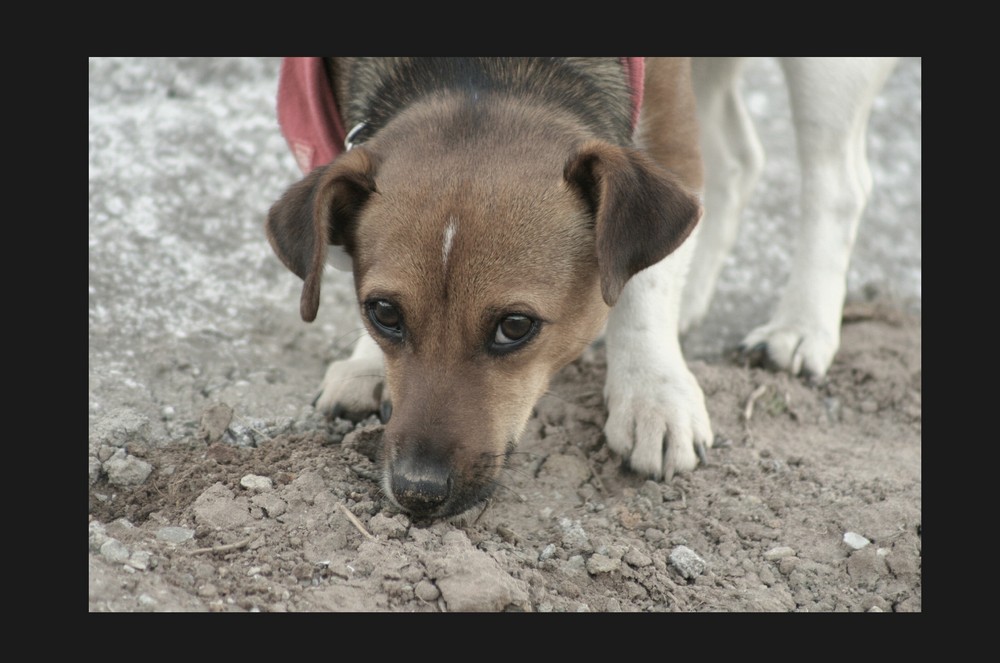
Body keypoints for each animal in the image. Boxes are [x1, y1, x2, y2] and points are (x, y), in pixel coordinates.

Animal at [264, 58, 704, 520]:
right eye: (383, 313)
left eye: (515, 326)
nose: (417, 491)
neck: (485, 75)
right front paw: (366, 361)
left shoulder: (672, 134)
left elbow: (649, 283)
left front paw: (653, 396)